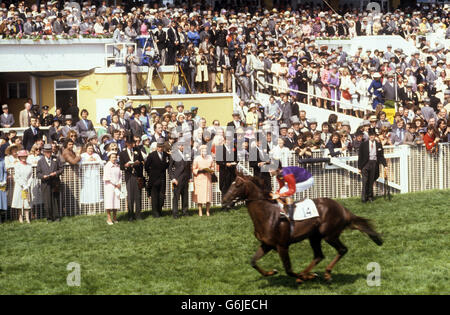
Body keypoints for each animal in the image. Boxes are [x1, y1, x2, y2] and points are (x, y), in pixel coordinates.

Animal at [222, 173, 384, 284]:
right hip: (314, 237)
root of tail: (343, 209)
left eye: (237, 185)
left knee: (342, 250)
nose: (224, 199)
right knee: (319, 256)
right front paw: (271, 272)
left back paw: (325, 273)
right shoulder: (266, 245)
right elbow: (253, 262)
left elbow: (289, 270)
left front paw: (305, 276)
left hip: (329, 235)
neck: (268, 215)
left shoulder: (282, 246)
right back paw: (312, 274)